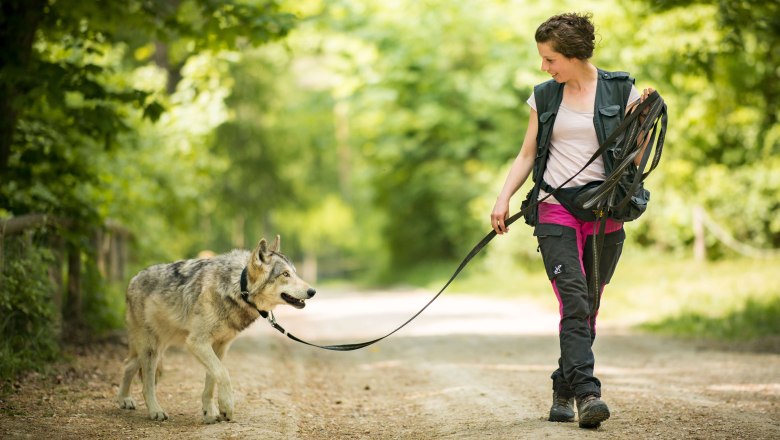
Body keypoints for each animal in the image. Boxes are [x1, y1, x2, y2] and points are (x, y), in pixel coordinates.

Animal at [116, 235, 315, 423]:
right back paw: (155, 411)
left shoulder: (219, 346)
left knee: (127, 364)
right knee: (146, 384)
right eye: (285, 274)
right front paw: (226, 406)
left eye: (295, 273)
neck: (238, 288)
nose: (312, 291)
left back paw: (124, 399)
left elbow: (211, 381)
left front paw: (209, 412)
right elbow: (223, 373)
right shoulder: (197, 343)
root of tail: (132, 279)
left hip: (156, 348)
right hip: (151, 349)